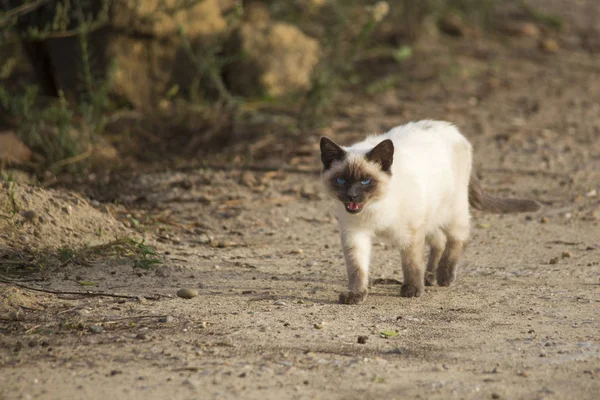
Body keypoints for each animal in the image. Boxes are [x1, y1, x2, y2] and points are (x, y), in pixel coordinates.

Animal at [322, 120, 540, 304]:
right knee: (439, 242)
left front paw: (412, 290)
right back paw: (430, 277)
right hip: (431, 216)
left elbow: (411, 264)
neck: (374, 208)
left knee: (459, 238)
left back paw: (444, 276)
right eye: (341, 180)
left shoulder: (410, 234)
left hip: (451, 211)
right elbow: (357, 269)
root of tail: (453, 129)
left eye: (366, 181)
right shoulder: (355, 235)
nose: (351, 196)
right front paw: (356, 295)